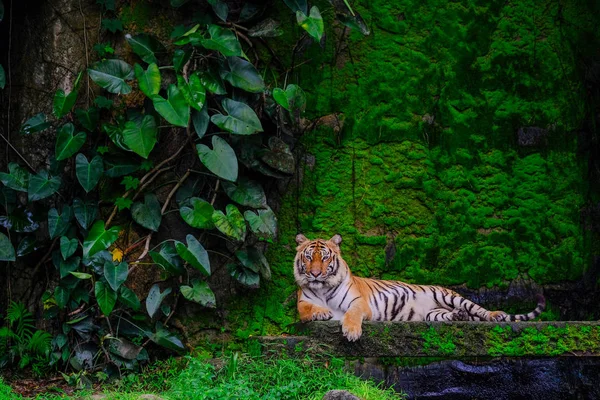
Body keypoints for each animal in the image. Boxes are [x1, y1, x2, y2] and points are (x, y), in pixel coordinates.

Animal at [292, 234, 548, 340]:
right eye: (309, 257)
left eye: (325, 257)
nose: (315, 273)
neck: (323, 287)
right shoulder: (302, 302)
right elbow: (307, 310)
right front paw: (322, 313)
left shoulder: (360, 304)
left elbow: (352, 314)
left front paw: (352, 332)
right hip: (434, 314)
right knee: (454, 315)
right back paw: (459, 316)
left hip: (450, 296)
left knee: (479, 310)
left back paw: (496, 315)